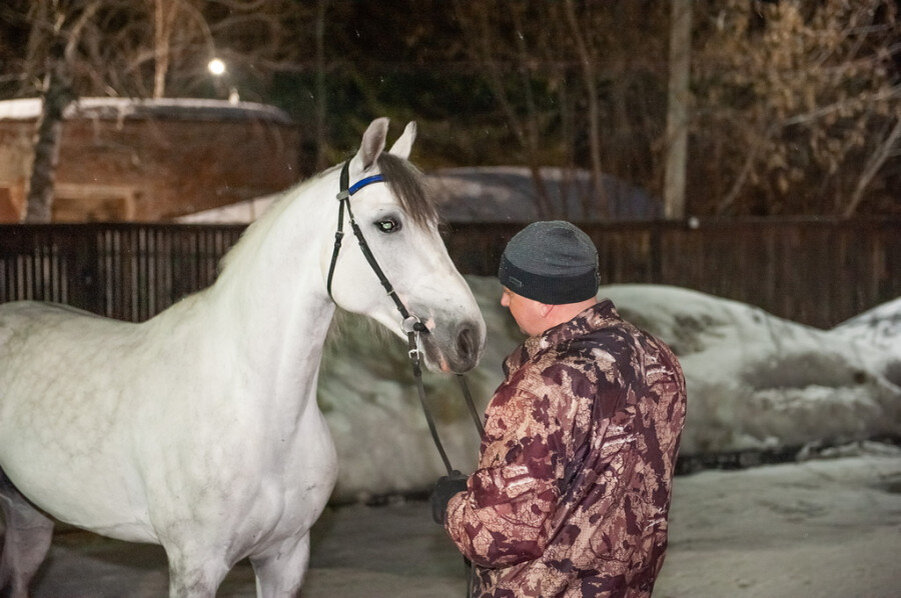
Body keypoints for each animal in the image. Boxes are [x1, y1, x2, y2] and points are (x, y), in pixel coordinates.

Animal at [0, 119, 486, 596]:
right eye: (388, 224)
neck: (256, 412)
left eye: (435, 225)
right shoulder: (196, 568)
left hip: (28, 520)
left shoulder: (284, 558)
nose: (468, 337)